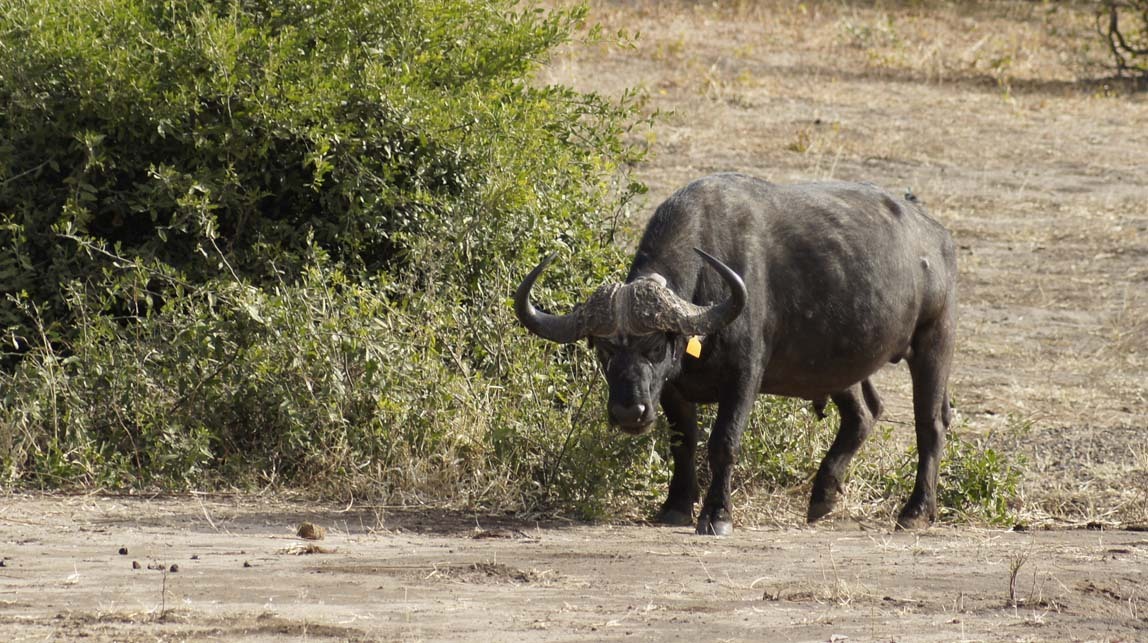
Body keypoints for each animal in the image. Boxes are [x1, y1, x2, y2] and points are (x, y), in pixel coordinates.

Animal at [516, 171, 955, 532]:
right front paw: (676, 506)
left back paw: (915, 512)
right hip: (839, 367)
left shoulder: (745, 376)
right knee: (863, 415)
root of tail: (937, 236)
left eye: (655, 344)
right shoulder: (671, 389)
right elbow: (683, 442)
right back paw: (822, 497)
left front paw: (717, 515)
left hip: (935, 339)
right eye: (605, 348)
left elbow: (723, 442)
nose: (629, 412)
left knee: (930, 425)